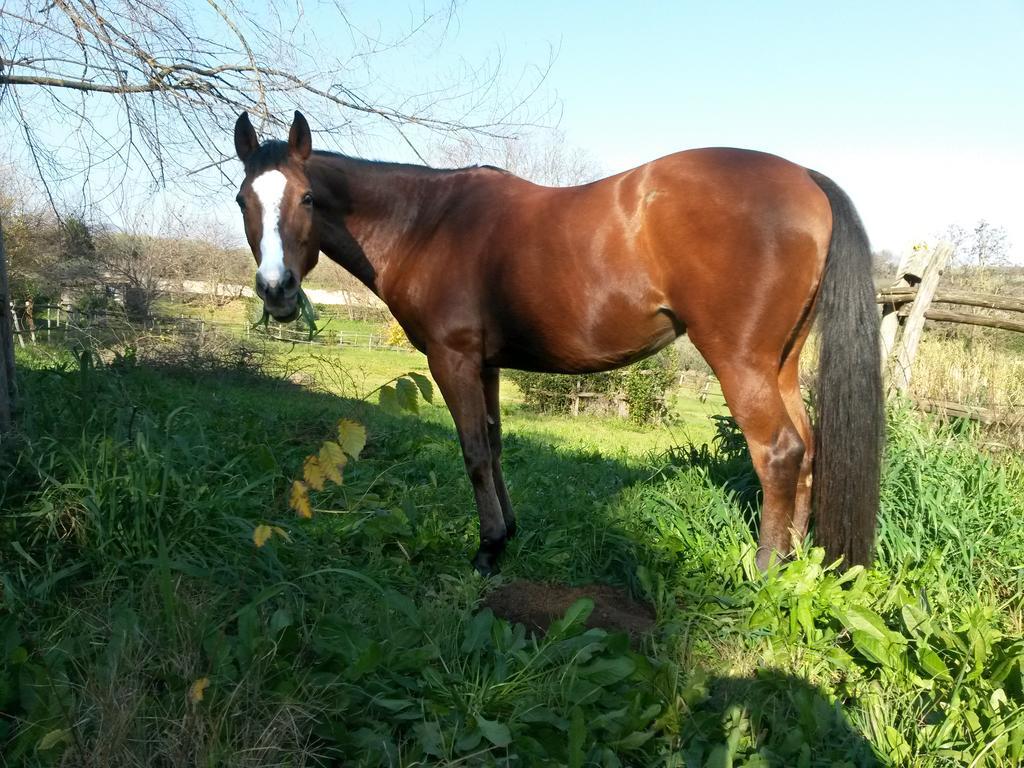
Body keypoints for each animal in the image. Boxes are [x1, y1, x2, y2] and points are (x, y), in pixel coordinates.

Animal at [232, 109, 880, 577]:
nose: (276, 290)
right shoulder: (486, 364)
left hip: (739, 362)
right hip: (783, 364)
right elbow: (494, 447)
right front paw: (509, 533)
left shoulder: (452, 358)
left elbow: (472, 452)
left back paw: (766, 571)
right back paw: (797, 565)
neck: (428, 223)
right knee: (808, 449)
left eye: (307, 198)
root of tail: (805, 176)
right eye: (243, 200)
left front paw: (488, 549)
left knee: (779, 452)